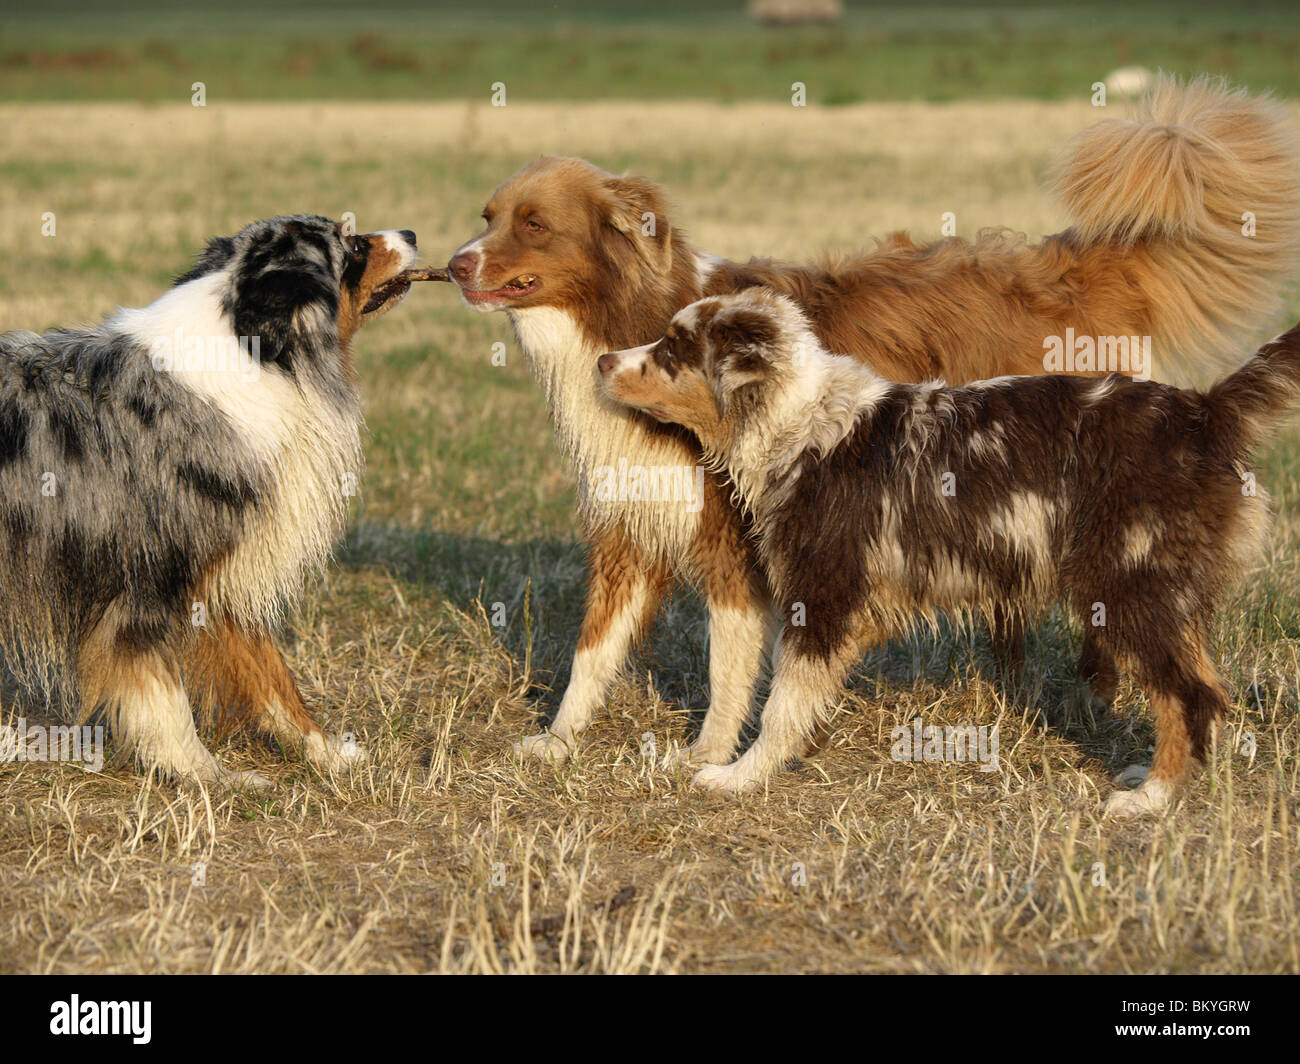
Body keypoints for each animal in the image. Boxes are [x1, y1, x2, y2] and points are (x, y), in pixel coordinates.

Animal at [598, 283, 1300, 811]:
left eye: (672, 347)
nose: (603, 361)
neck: (798, 421)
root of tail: (1204, 412)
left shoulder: (823, 593)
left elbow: (782, 704)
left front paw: (740, 776)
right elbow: (800, 695)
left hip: (1128, 584)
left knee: (1189, 694)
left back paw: (1151, 798)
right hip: (1169, 592)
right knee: (1208, 686)